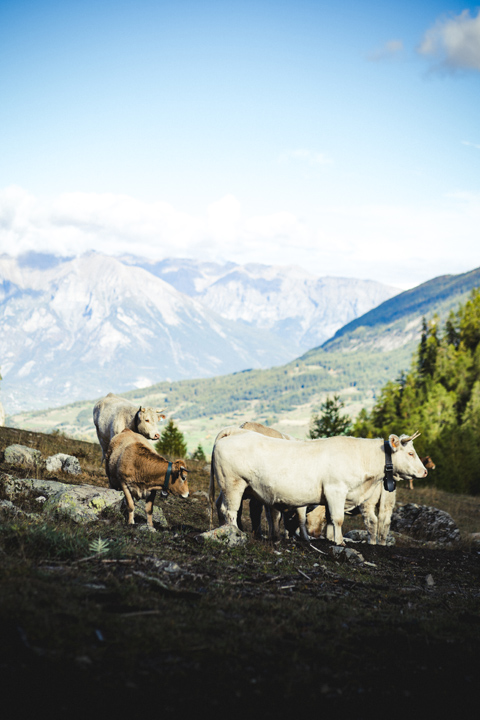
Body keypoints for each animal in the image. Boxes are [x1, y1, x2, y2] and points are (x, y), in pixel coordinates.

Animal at [210, 430, 427, 546]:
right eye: (410, 453)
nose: (425, 472)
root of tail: (234, 432)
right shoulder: (336, 490)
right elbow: (338, 519)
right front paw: (340, 542)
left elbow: (330, 519)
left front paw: (330, 540)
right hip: (233, 483)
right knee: (230, 510)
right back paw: (235, 533)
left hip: (227, 486)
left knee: (221, 507)